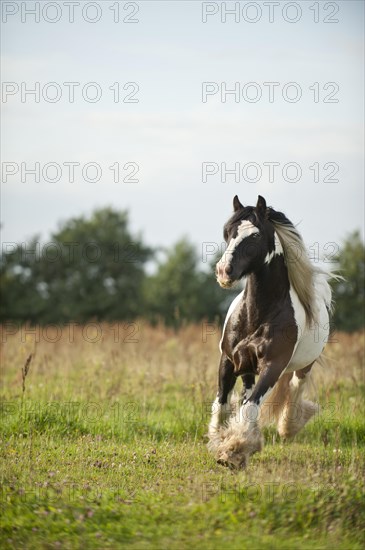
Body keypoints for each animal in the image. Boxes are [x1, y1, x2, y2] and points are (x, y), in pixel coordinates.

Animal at [208, 196, 332, 472]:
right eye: (227, 232)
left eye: (254, 235)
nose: (223, 271)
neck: (257, 315)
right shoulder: (228, 361)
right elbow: (222, 403)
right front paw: (222, 441)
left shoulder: (273, 365)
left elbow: (252, 405)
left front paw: (234, 451)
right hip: (246, 368)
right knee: (245, 393)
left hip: (303, 365)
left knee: (294, 389)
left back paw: (287, 427)